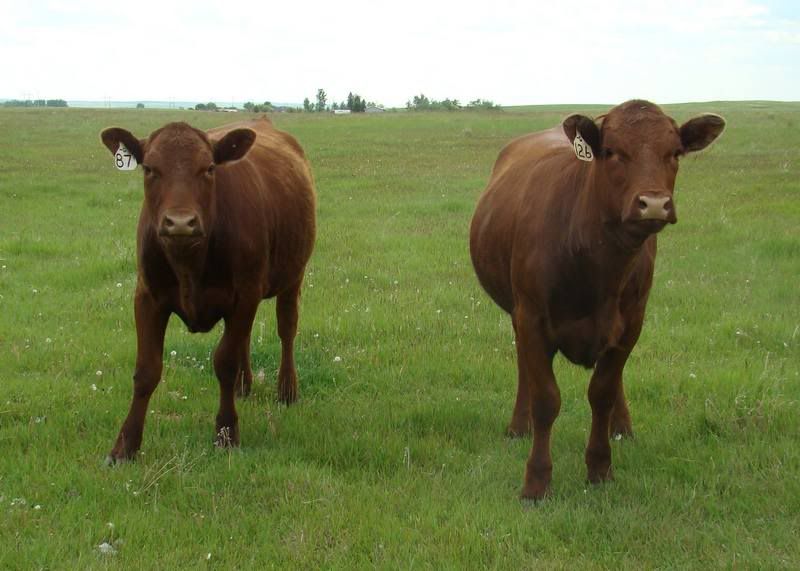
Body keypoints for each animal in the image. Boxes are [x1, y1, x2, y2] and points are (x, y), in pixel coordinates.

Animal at [100, 116, 316, 463]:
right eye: (149, 168)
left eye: (209, 168)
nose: (180, 223)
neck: (189, 262)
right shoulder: (147, 296)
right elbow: (146, 370)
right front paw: (125, 446)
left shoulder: (245, 294)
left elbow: (224, 362)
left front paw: (226, 433)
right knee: (244, 339)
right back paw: (244, 385)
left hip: (292, 276)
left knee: (286, 330)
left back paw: (287, 390)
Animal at [469, 100, 725, 500]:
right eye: (612, 151)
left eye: (675, 153)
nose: (654, 203)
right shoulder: (531, 319)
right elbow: (546, 399)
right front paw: (536, 481)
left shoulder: (631, 323)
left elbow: (602, 392)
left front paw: (600, 468)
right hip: (516, 312)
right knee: (524, 368)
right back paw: (518, 426)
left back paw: (623, 428)